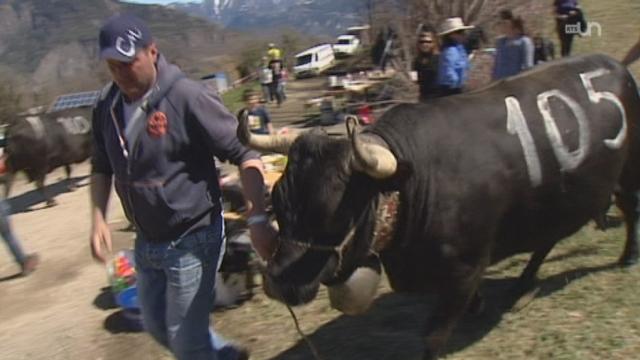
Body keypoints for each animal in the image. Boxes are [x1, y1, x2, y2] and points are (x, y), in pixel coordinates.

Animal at [239, 54, 640, 360]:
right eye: (277, 202)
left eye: (333, 212)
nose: (278, 282)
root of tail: (612, 64)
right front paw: (479, 305)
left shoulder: (465, 266)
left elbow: (434, 335)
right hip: (553, 199)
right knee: (547, 237)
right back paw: (523, 287)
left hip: (627, 170)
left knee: (629, 208)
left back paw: (626, 258)